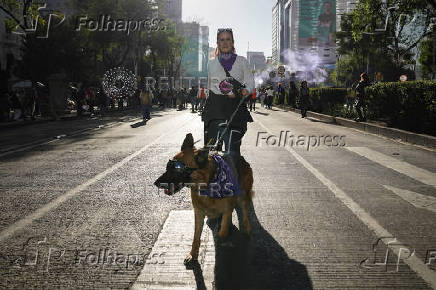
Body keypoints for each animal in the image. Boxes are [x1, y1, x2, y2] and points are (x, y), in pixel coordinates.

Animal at [155, 134, 254, 266]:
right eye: (167, 166)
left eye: (177, 169)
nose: (155, 183)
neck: (208, 183)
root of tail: (241, 157)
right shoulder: (199, 214)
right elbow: (196, 237)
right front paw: (192, 255)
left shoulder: (227, 211)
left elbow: (222, 232)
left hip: (243, 197)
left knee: (245, 212)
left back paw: (247, 229)